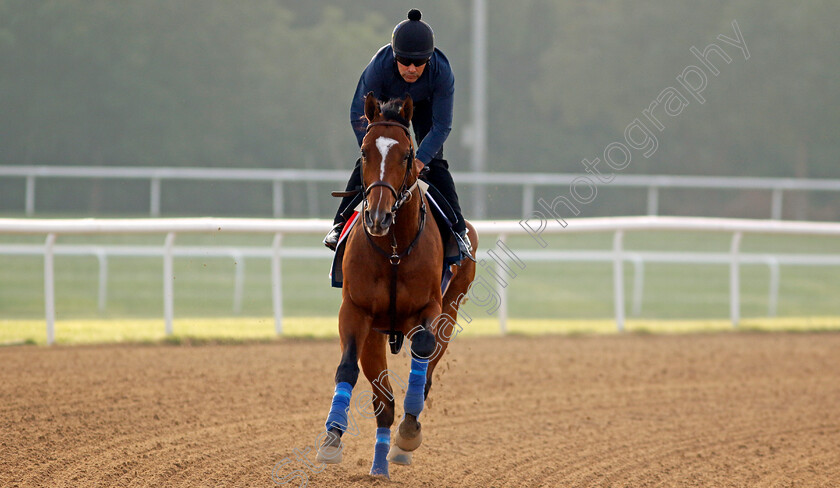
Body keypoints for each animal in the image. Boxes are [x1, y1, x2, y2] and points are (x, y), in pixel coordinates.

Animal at [316, 93, 476, 478]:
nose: (378, 216)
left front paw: (409, 432)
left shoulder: (429, 308)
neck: (392, 251)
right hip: (375, 332)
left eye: (405, 154)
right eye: (364, 152)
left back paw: (403, 439)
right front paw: (332, 437)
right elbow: (348, 368)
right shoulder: (355, 310)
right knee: (383, 401)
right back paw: (380, 463)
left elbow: (423, 349)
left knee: (426, 371)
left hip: (452, 307)